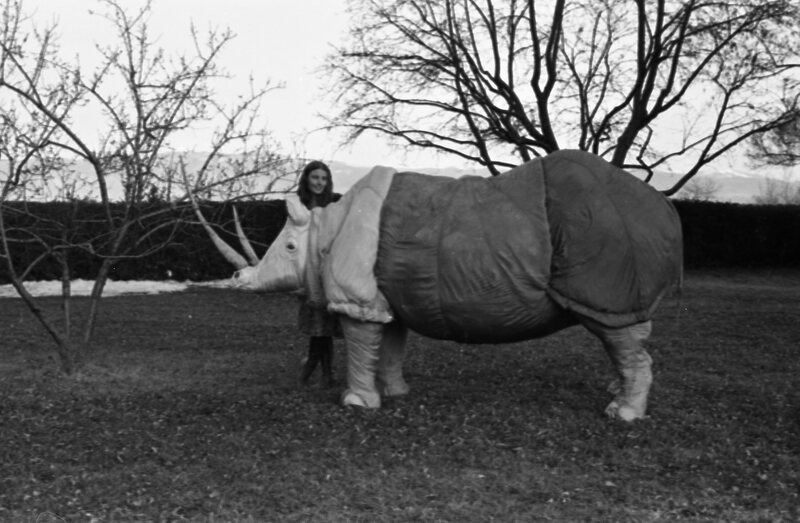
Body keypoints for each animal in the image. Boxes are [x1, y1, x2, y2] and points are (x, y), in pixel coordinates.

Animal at [202, 150, 683, 421]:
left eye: (287, 248)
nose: (239, 279)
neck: (325, 226)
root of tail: (665, 209)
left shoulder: (359, 297)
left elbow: (361, 343)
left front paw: (357, 404)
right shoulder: (388, 295)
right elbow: (390, 345)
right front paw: (395, 393)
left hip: (608, 245)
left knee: (615, 328)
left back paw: (621, 416)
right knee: (622, 334)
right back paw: (617, 397)